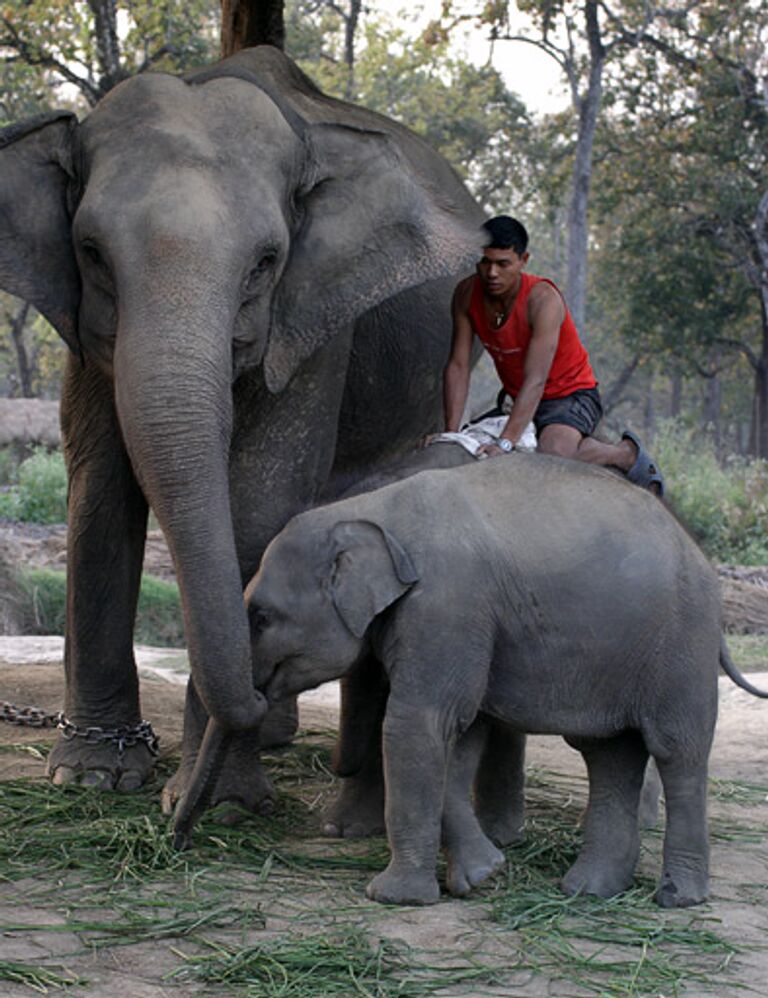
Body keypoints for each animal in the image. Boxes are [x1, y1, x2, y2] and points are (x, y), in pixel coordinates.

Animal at [0, 48, 480, 812]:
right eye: (92, 251)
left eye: (265, 261)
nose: (254, 688)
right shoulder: (82, 326)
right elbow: (100, 488)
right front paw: (92, 774)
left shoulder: (314, 322)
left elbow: (259, 492)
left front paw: (220, 801)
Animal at [243, 458, 760, 912]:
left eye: (261, 617)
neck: (373, 509)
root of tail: (699, 555)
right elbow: (459, 733)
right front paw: (482, 874)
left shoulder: (447, 605)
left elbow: (419, 724)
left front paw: (393, 897)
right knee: (610, 755)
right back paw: (588, 891)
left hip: (681, 644)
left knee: (677, 751)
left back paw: (677, 897)